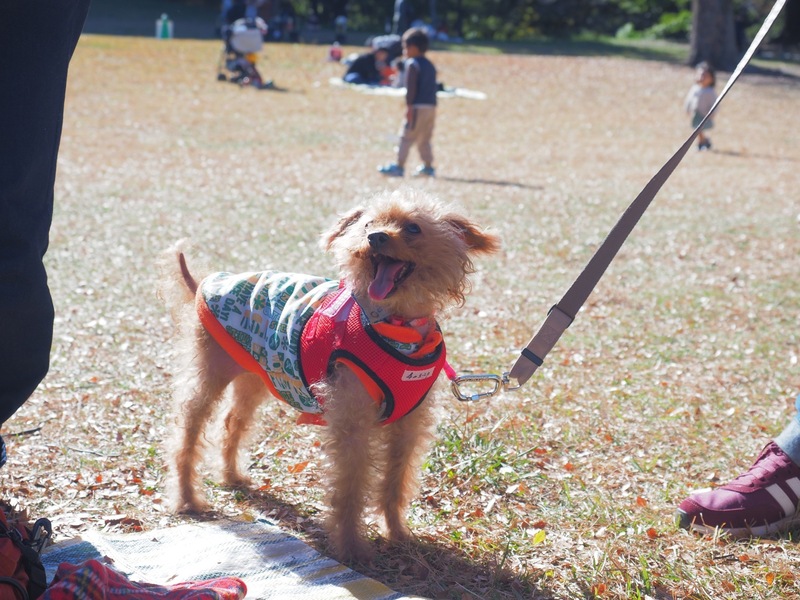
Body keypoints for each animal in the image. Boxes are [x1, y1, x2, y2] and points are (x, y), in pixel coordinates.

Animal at [161, 189, 499, 563]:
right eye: (368, 223)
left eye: (413, 228)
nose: (375, 237)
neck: (396, 326)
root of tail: (206, 283)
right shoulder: (352, 424)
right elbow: (350, 488)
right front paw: (352, 549)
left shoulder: (408, 427)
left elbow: (395, 482)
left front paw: (396, 534)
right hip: (210, 373)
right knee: (187, 434)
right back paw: (188, 499)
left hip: (256, 374)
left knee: (233, 422)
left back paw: (233, 476)